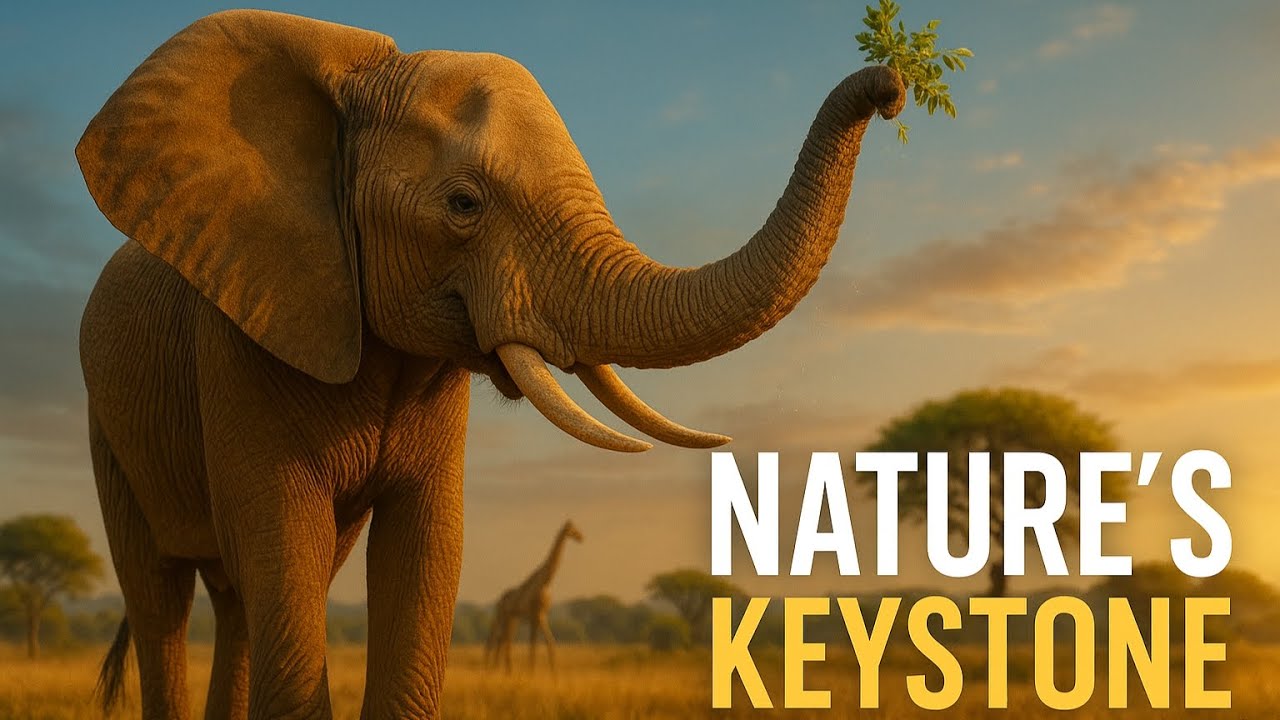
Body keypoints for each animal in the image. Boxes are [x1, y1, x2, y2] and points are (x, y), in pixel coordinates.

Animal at [75, 9, 904, 720]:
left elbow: (428, 545)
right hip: (106, 426)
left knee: (241, 605)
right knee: (162, 600)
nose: (891, 87)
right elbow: (286, 538)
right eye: (464, 204)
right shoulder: (245, 334)